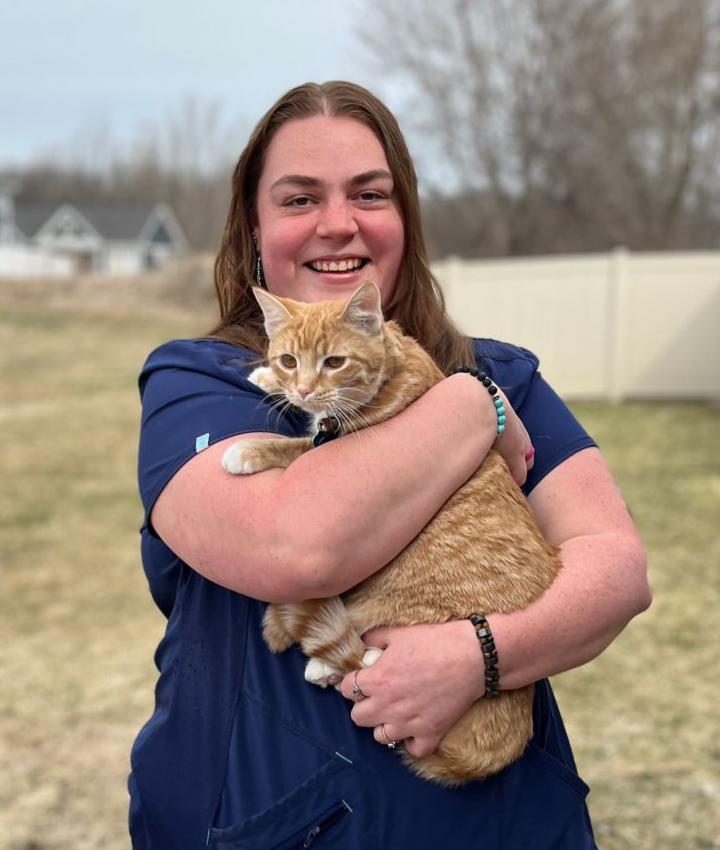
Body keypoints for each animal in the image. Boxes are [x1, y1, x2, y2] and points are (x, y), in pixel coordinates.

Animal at [221, 281, 561, 786]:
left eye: (334, 362)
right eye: (290, 360)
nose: (304, 388)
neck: (392, 367)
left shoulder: (330, 447)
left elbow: (294, 448)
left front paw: (248, 450)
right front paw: (267, 378)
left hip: (390, 597)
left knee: (363, 641)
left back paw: (331, 664)